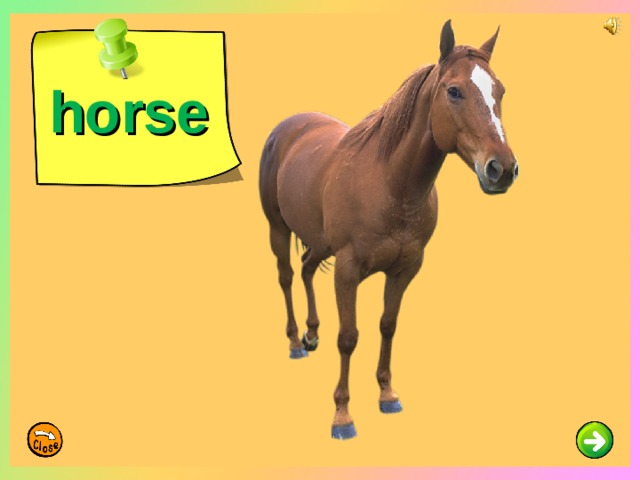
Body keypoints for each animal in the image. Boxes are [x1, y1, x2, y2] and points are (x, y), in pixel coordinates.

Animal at [259, 20, 518, 440]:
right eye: (454, 91)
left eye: (500, 91)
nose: (503, 169)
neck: (389, 182)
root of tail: (286, 128)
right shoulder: (348, 270)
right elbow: (348, 337)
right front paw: (342, 415)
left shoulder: (405, 268)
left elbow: (388, 326)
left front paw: (387, 394)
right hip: (277, 228)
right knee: (286, 276)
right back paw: (296, 341)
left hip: (319, 241)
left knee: (308, 268)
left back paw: (312, 334)